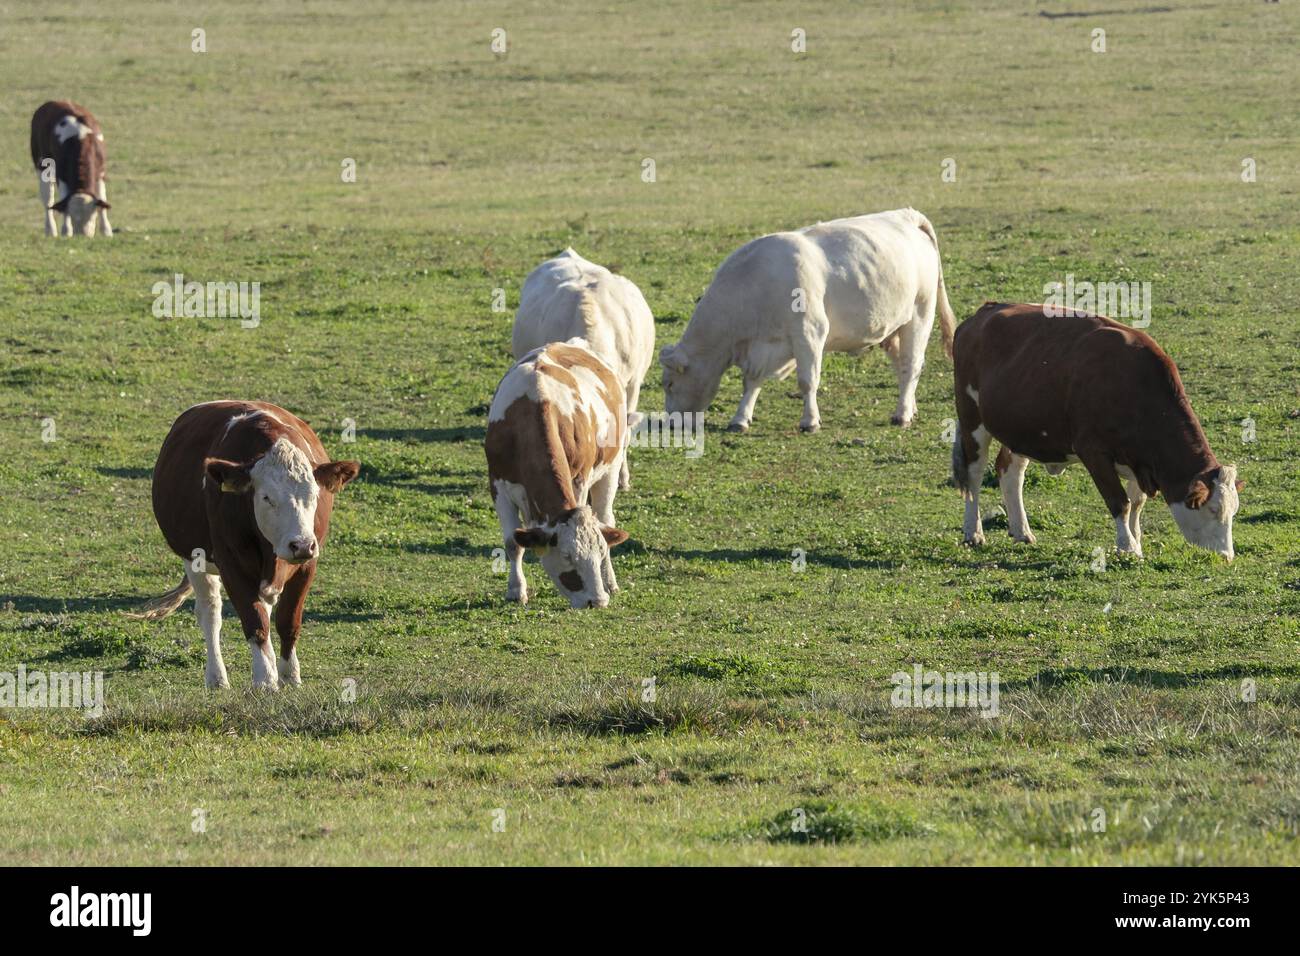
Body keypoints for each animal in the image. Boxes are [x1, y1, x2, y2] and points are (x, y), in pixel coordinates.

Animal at [30, 101, 112, 237]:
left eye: (92, 216)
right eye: (73, 217)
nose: (82, 236)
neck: (81, 139)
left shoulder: (101, 172)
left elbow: (102, 198)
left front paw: (106, 230)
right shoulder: (61, 175)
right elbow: (64, 201)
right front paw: (66, 230)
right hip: (41, 166)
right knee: (48, 200)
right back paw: (50, 230)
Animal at [131, 402, 360, 689]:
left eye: (314, 494)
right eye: (266, 497)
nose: (301, 545)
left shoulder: (308, 565)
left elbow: (288, 621)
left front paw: (289, 676)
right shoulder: (231, 564)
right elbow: (255, 621)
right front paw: (265, 680)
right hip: (194, 559)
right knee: (210, 613)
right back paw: (217, 677)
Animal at [485, 339, 631, 608]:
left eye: (599, 552)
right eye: (567, 555)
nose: (597, 601)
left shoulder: (579, 480)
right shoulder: (498, 484)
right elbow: (513, 543)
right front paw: (516, 590)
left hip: (612, 467)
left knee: (606, 518)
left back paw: (610, 582)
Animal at [659, 207, 956, 434]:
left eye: (670, 384)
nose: (671, 423)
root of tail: (905, 215)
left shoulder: (809, 333)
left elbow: (807, 380)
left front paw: (810, 421)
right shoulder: (762, 347)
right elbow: (751, 382)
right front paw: (740, 418)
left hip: (920, 314)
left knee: (911, 364)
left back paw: (903, 414)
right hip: (892, 327)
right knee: (902, 366)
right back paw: (910, 407)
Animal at [952, 302, 1243, 560]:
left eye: (1233, 511)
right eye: (1213, 509)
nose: (1226, 556)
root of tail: (984, 311)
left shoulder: (1141, 460)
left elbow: (1137, 503)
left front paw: (1136, 541)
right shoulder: (1093, 452)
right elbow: (1120, 502)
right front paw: (1128, 547)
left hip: (1019, 429)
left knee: (1010, 471)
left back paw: (1021, 531)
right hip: (971, 419)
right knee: (974, 474)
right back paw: (973, 532)